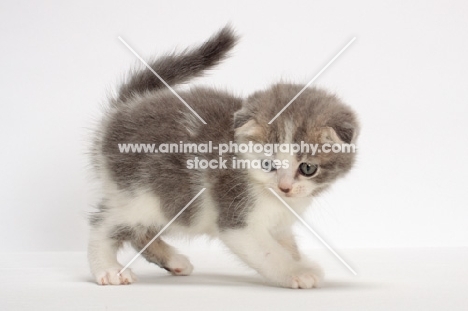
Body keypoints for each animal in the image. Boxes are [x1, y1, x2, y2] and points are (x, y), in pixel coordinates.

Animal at [88, 26, 358, 290]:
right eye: (268, 164)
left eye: (307, 168)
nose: (285, 188)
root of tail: (125, 108)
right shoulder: (236, 217)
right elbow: (269, 253)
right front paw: (297, 273)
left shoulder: (280, 224)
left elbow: (286, 244)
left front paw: (300, 262)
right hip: (143, 195)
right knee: (103, 222)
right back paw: (107, 268)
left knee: (138, 232)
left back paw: (174, 261)